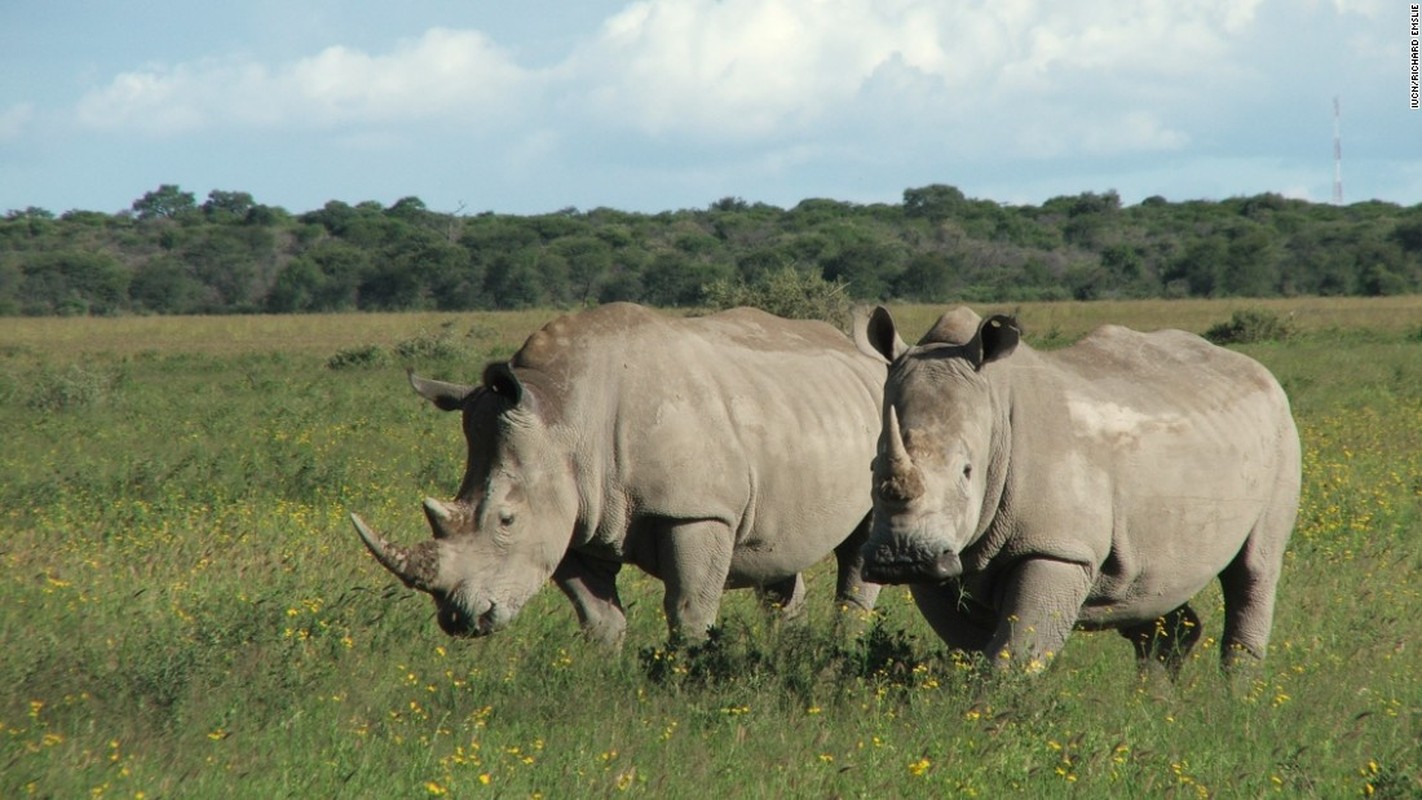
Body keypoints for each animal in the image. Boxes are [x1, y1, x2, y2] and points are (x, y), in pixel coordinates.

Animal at [853, 309, 1302, 673]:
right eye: (872, 468)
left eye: (966, 471)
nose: (900, 557)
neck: (994, 408)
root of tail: (1261, 372)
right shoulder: (945, 564)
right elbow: (972, 647)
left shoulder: (1057, 547)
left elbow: (1015, 653)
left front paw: (996, 716)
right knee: (1155, 588)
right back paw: (1157, 703)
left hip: (1282, 432)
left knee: (1255, 569)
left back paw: (1236, 700)